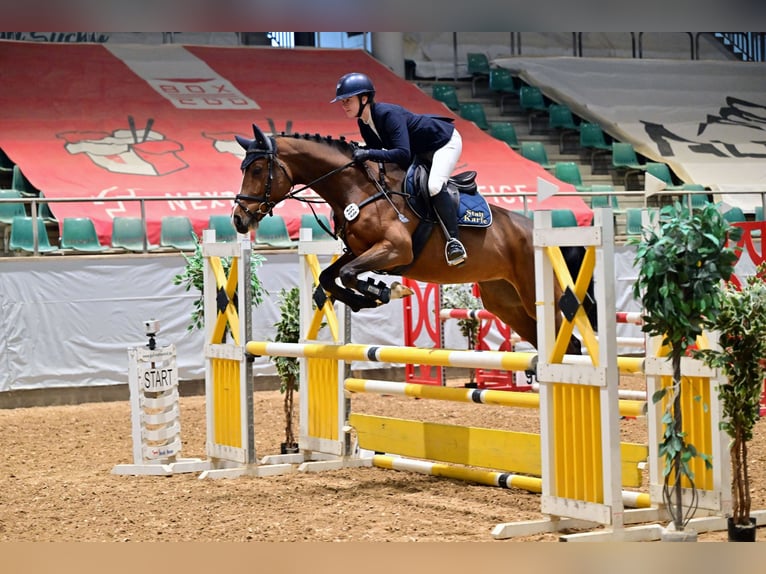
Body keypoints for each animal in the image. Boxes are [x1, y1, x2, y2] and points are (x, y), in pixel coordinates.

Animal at [231, 124, 592, 354]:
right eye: (244, 168)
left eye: (258, 170)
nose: (238, 219)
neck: (357, 188)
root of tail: (542, 232)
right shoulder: (360, 250)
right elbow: (330, 277)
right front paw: (370, 296)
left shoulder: (396, 250)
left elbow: (347, 275)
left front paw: (381, 292)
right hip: (505, 302)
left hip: (535, 294)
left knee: (570, 344)